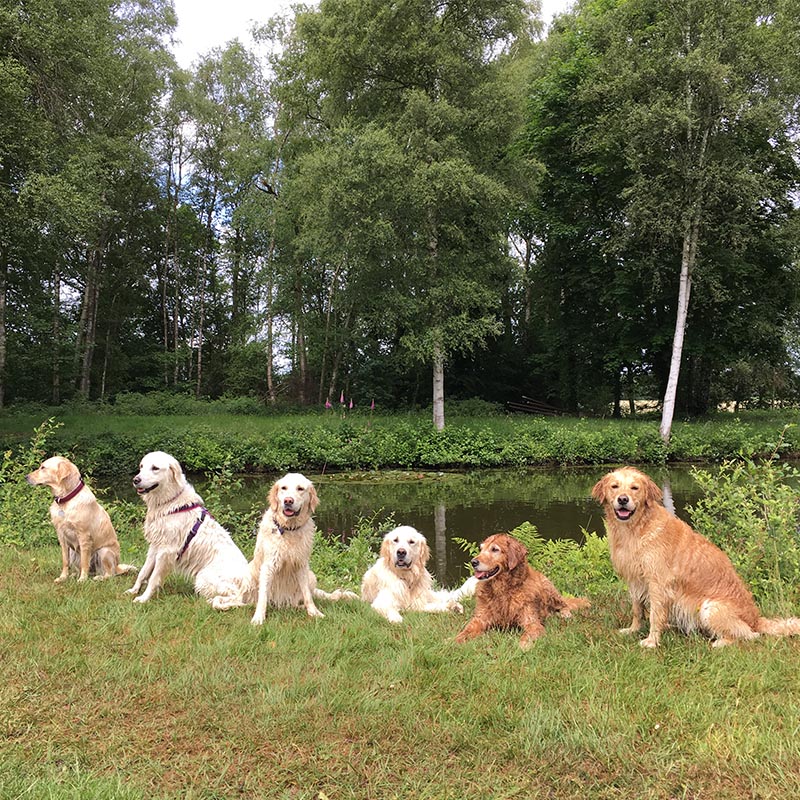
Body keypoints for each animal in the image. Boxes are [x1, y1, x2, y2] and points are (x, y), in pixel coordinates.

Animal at [127, 451, 250, 605]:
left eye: (155, 468)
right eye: (141, 466)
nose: (135, 480)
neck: (170, 502)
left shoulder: (166, 551)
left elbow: (153, 578)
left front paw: (144, 598)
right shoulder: (155, 546)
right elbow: (143, 572)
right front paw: (134, 590)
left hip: (203, 576)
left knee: (236, 599)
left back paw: (213, 602)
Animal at [213, 472, 357, 625]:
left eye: (300, 489)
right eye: (284, 488)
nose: (288, 501)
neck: (288, 529)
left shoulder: (302, 565)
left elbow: (307, 595)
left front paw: (314, 612)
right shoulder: (268, 566)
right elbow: (262, 597)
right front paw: (258, 618)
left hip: (311, 576)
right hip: (248, 578)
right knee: (236, 601)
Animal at [455, 533, 589, 649]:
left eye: (495, 549)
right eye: (481, 549)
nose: (473, 562)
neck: (503, 590)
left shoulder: (532, 623)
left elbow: (527, 636)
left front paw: (521, 647)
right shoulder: (479, 619)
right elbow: (465, 631)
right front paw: (453, 642)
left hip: (548, 587)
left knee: (564, 605)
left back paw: (565, 614)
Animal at [593, 466, 800, 647]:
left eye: (635, 488)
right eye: (615, 486)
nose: (623, 499)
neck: (637, 528)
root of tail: (756, 619)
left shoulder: (658, 583)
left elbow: (654, 615)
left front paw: (652, 641)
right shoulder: (635, 580)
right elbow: (637, 610)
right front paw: (633, 630)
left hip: (710, 607)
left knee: (748, 635)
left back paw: (720, 643)